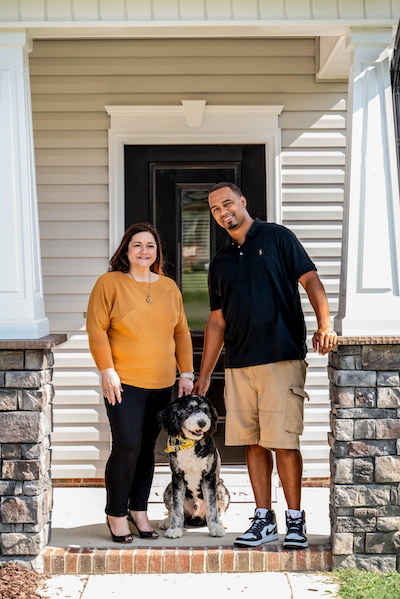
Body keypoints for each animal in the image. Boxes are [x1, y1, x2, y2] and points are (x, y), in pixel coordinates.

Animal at [159, 394, 230, 540]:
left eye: (206, 410)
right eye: (189, 409)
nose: (202, 423)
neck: (190, 443)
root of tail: (196, 517)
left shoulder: (209, 476)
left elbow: (213, 507)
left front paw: (215, 528)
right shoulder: (177, 476)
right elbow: (176, 507)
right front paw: (175, 529)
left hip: (221, 489)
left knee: (219, 510)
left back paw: (221, 522)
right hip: (169, 488)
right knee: (174, 511)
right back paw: (168, 521)